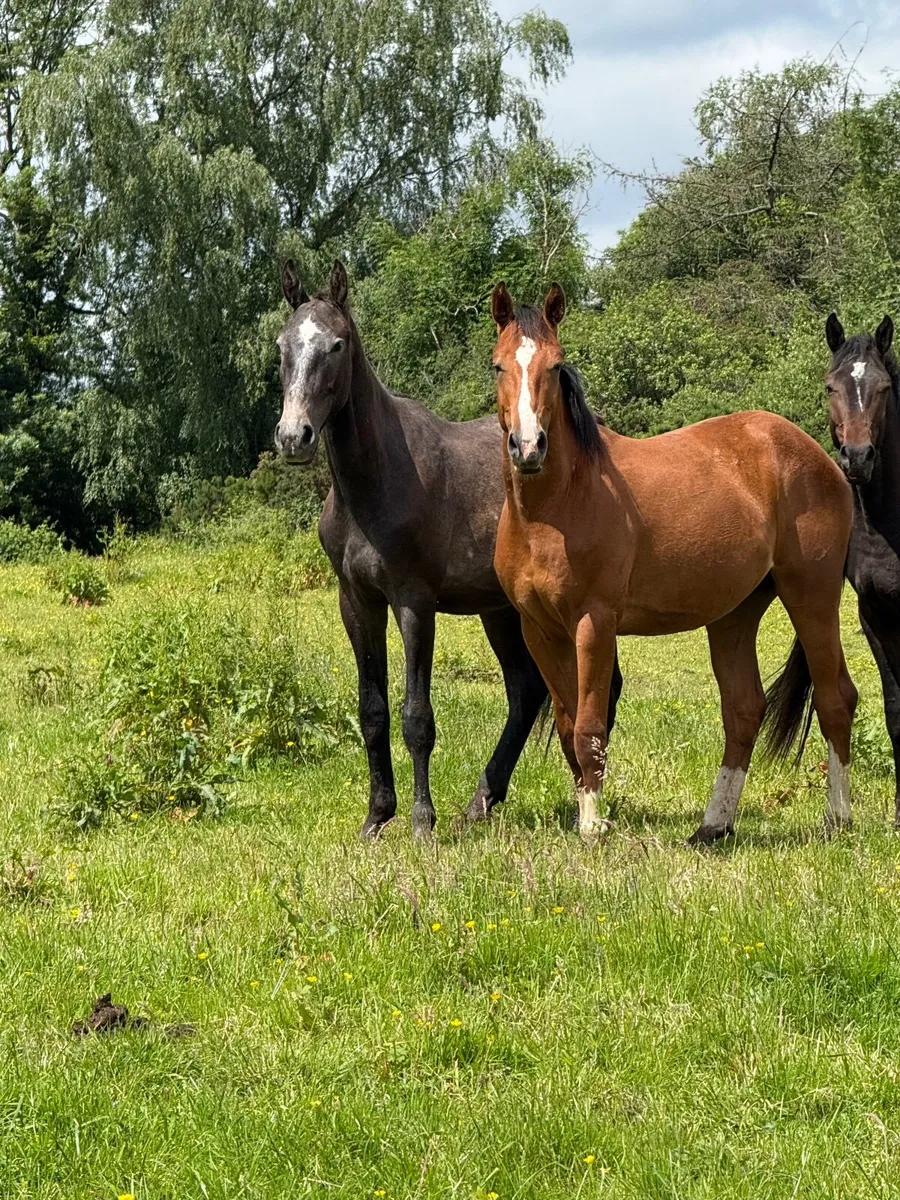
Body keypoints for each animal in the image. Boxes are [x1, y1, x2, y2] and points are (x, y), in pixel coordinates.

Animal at [273, 259, 623, 839]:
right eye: (283, 344)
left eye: (337, 345)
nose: (293, 436)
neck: (375, 482)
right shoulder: (357, 603)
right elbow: (373, 711)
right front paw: (377, 817)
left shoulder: (414, 604)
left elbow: (416, 716)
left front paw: (421, 822)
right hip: (502, 611)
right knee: (526, 693)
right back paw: (481, 802)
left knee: (599, 689)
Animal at [489, 280, 858, 844]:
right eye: (498, 366)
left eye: (555, 365)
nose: (528, 447)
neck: (556, 506)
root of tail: (819, 457)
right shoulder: (540, 630)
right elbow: (569, 725)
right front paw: (586, 813)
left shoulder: (594, 623)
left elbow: (590, 728)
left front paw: (593, 827)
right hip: (735, 614)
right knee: (744, 710)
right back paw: (713, 826)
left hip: (812, 598)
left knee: (836, 698)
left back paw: (837, 818)